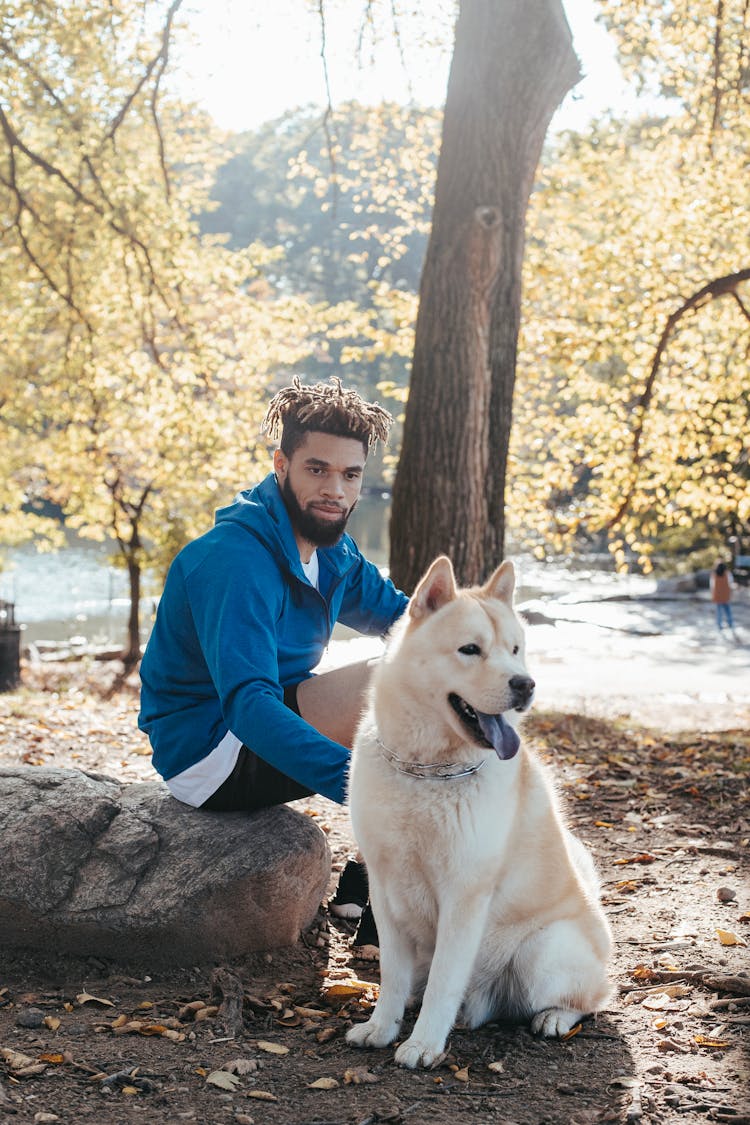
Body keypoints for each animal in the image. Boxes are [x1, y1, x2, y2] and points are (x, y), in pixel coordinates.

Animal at [344, 558, 611, 1066]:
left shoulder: (463, 896)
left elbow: (445, 982)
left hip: (542, 949)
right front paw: (382, 1028)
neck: (426, 772)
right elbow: (391, 974)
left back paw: (555, 1018)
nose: (526, 684)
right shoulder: (384, 889)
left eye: (515, 650)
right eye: (471, 650)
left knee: (591, 1000)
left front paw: (424, 1044)